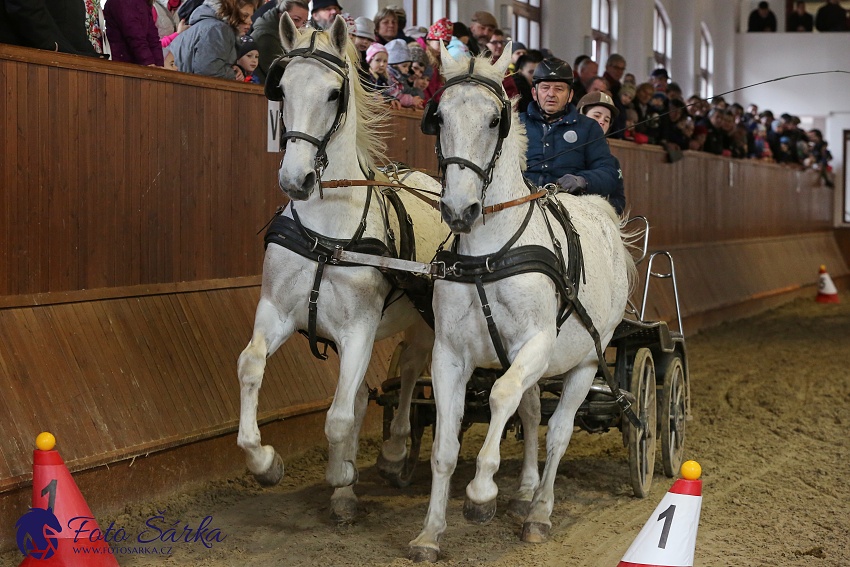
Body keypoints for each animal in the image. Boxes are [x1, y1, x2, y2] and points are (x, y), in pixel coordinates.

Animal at [234, 15, 440, 524]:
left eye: (333, 94)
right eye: (282, 88)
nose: (296, 179)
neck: (326, 233)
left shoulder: (359, 330)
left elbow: (340, 416)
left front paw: (341, 476)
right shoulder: (276, 312)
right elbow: (251, 365)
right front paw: (266, 463)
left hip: (425, 322)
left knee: (411, 369)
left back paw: (394, 453)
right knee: (373, 388)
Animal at [408, 46, 632, 560]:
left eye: (495, 120)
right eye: (439, 116)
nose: (460, 210)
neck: (488, 254)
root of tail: (604, 215)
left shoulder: (536, 344)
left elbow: (500, 395)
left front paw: (481, 493)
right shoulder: (449, 354)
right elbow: (445, 446)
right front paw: (430, 533)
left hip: (586, 360)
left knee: (559, 432)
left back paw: (539, 513)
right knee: (532, 415)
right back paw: (526, 493)